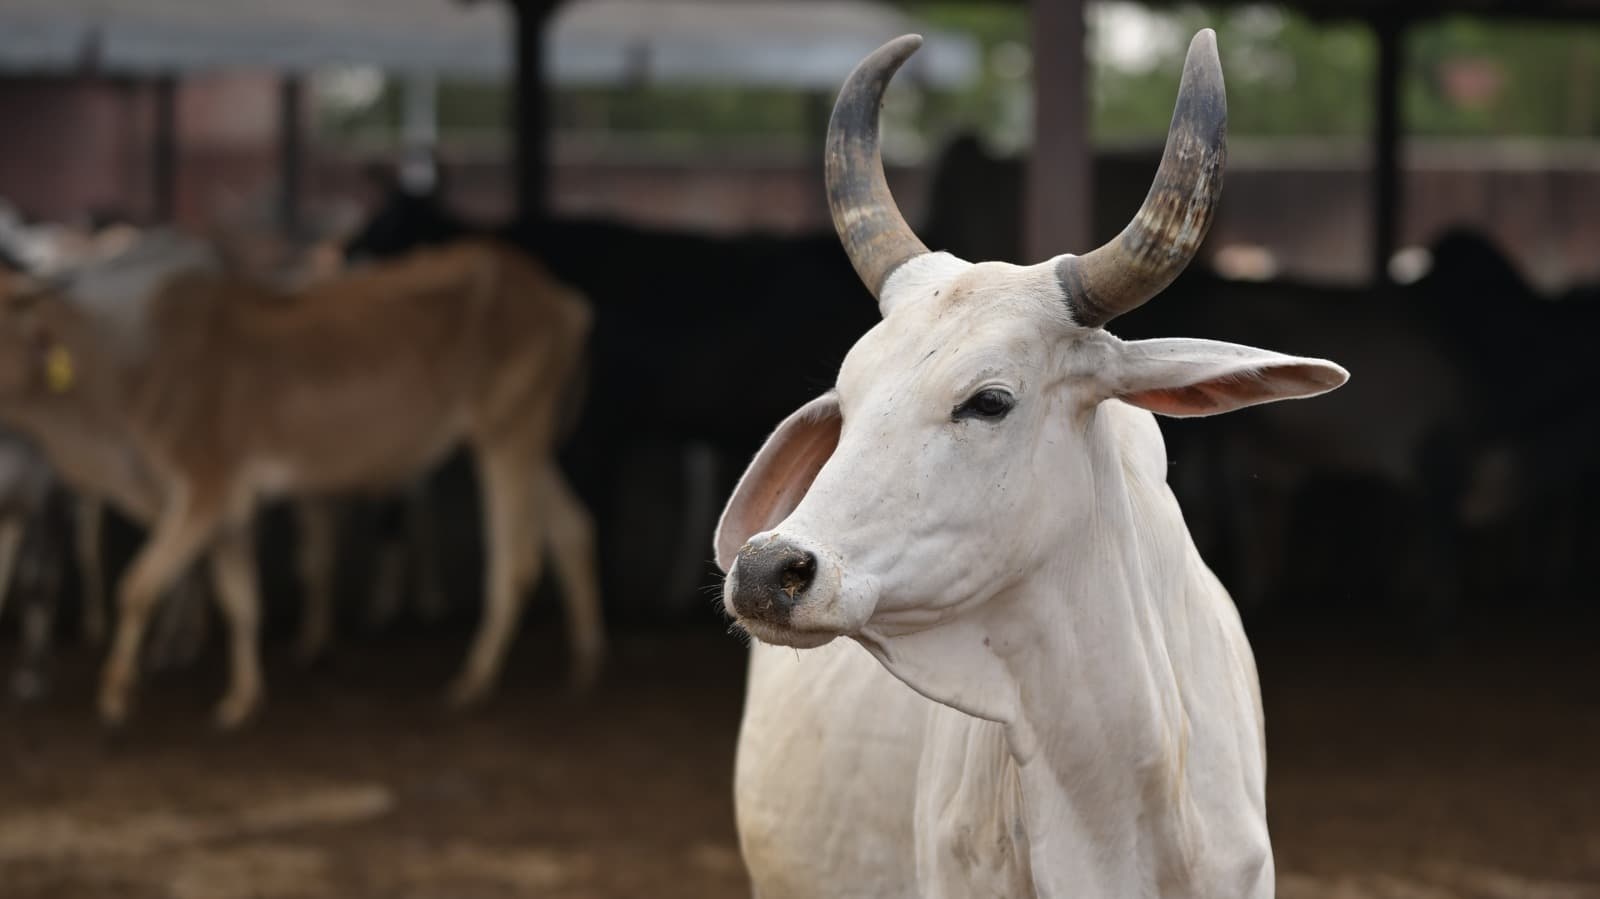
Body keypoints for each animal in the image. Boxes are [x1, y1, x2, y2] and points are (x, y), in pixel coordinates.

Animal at [0, 239, 603, 727]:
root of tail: (564, 299)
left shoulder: (205, 484)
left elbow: (139, 585)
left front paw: (115, 697)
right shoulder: (227, 503)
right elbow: (240, 599)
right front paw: (241, 701)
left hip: (508, 432)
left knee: (518, 560)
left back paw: (473, 683)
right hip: (524, 438)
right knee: (573, 529)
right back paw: (583, 666)